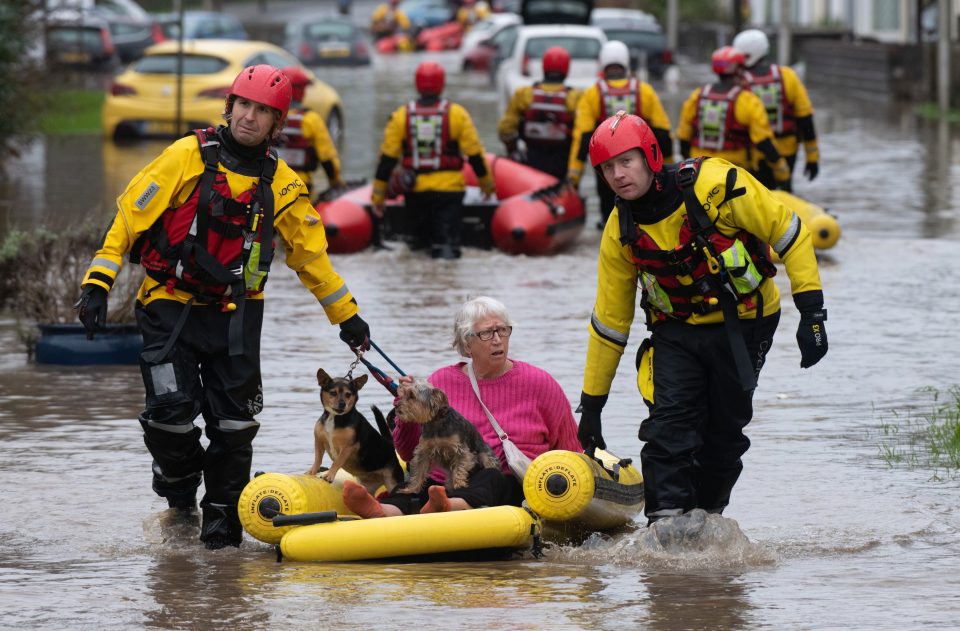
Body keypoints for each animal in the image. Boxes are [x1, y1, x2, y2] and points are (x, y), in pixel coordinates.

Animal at [308, 368, 404, 496]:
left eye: (348, 394)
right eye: (333, 393)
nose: (342, 404)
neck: (335, 418)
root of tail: (390, 445)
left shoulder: (347, 447)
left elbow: (337, 462)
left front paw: (329, 475)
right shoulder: (319, 442)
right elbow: (317, 460)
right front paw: (312, 472)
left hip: (392, 482)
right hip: (367, 487)